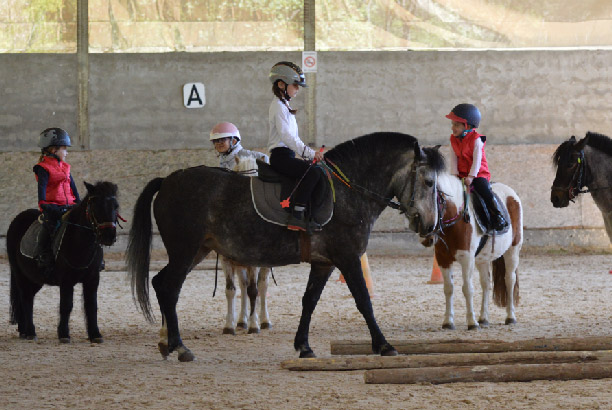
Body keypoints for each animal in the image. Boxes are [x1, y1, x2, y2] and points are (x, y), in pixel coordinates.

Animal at [6, 182, 120, 342]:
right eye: (95, 205)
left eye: (116, 206)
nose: (109, 236)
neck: (80, 242)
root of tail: (17, 219)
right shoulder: (66, 280)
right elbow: (66, 305)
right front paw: (64, 334)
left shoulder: (93, 278)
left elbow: (92, 305)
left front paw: (95, 334)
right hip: (19, 273)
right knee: (26, 298)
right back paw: (30, 332)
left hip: (35, 278)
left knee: (28, 299)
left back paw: (23, 331)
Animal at [126, 132, 438, 362]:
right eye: (429, 181)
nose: (430, 226)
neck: (349, 191)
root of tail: (168, 180)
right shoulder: (348, 258)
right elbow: (364, 300)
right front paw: (384, 345)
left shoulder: (324, 262)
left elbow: (309, 301)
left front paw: (304, 347)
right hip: (185, 250)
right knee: (169, 289)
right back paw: (180, 347)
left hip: (195, 250)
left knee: (160, 283)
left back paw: (166, 343)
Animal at [418, 147, 524, 330]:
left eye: (434, 201)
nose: (426, 237)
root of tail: (511, 194)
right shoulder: (443, 259)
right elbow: (448, 288)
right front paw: (448, 322)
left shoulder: (467, 258)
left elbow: (467, 288)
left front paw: (471, 322)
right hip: (483, 258)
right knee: (486, 284)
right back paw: (484, 318)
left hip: (513, 250)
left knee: (509, 280)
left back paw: (510, 317)